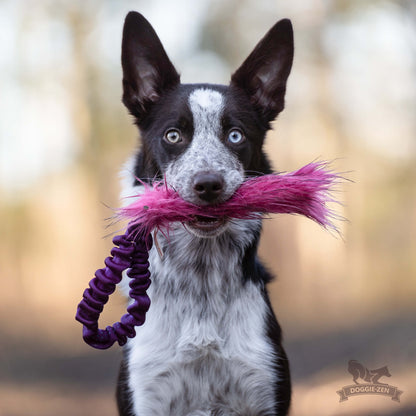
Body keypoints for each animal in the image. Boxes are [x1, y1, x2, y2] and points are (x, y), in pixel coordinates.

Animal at [115, 11, 294, 414]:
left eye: (235, 136)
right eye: (173, 135)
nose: (208, 184)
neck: (201, 282)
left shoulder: (264, 385)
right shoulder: (146, 392)